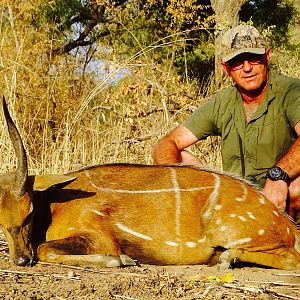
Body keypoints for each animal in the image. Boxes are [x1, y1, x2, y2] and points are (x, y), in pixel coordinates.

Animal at [0, 96, 298, 270]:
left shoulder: (100, 237)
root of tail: (286, 224)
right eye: (0, 221)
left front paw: (123, 259)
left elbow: (45, 249)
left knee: (291, 259)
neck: (54, 203)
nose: (20, 260)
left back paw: (227, 259)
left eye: (29, 213)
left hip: (225, 229)